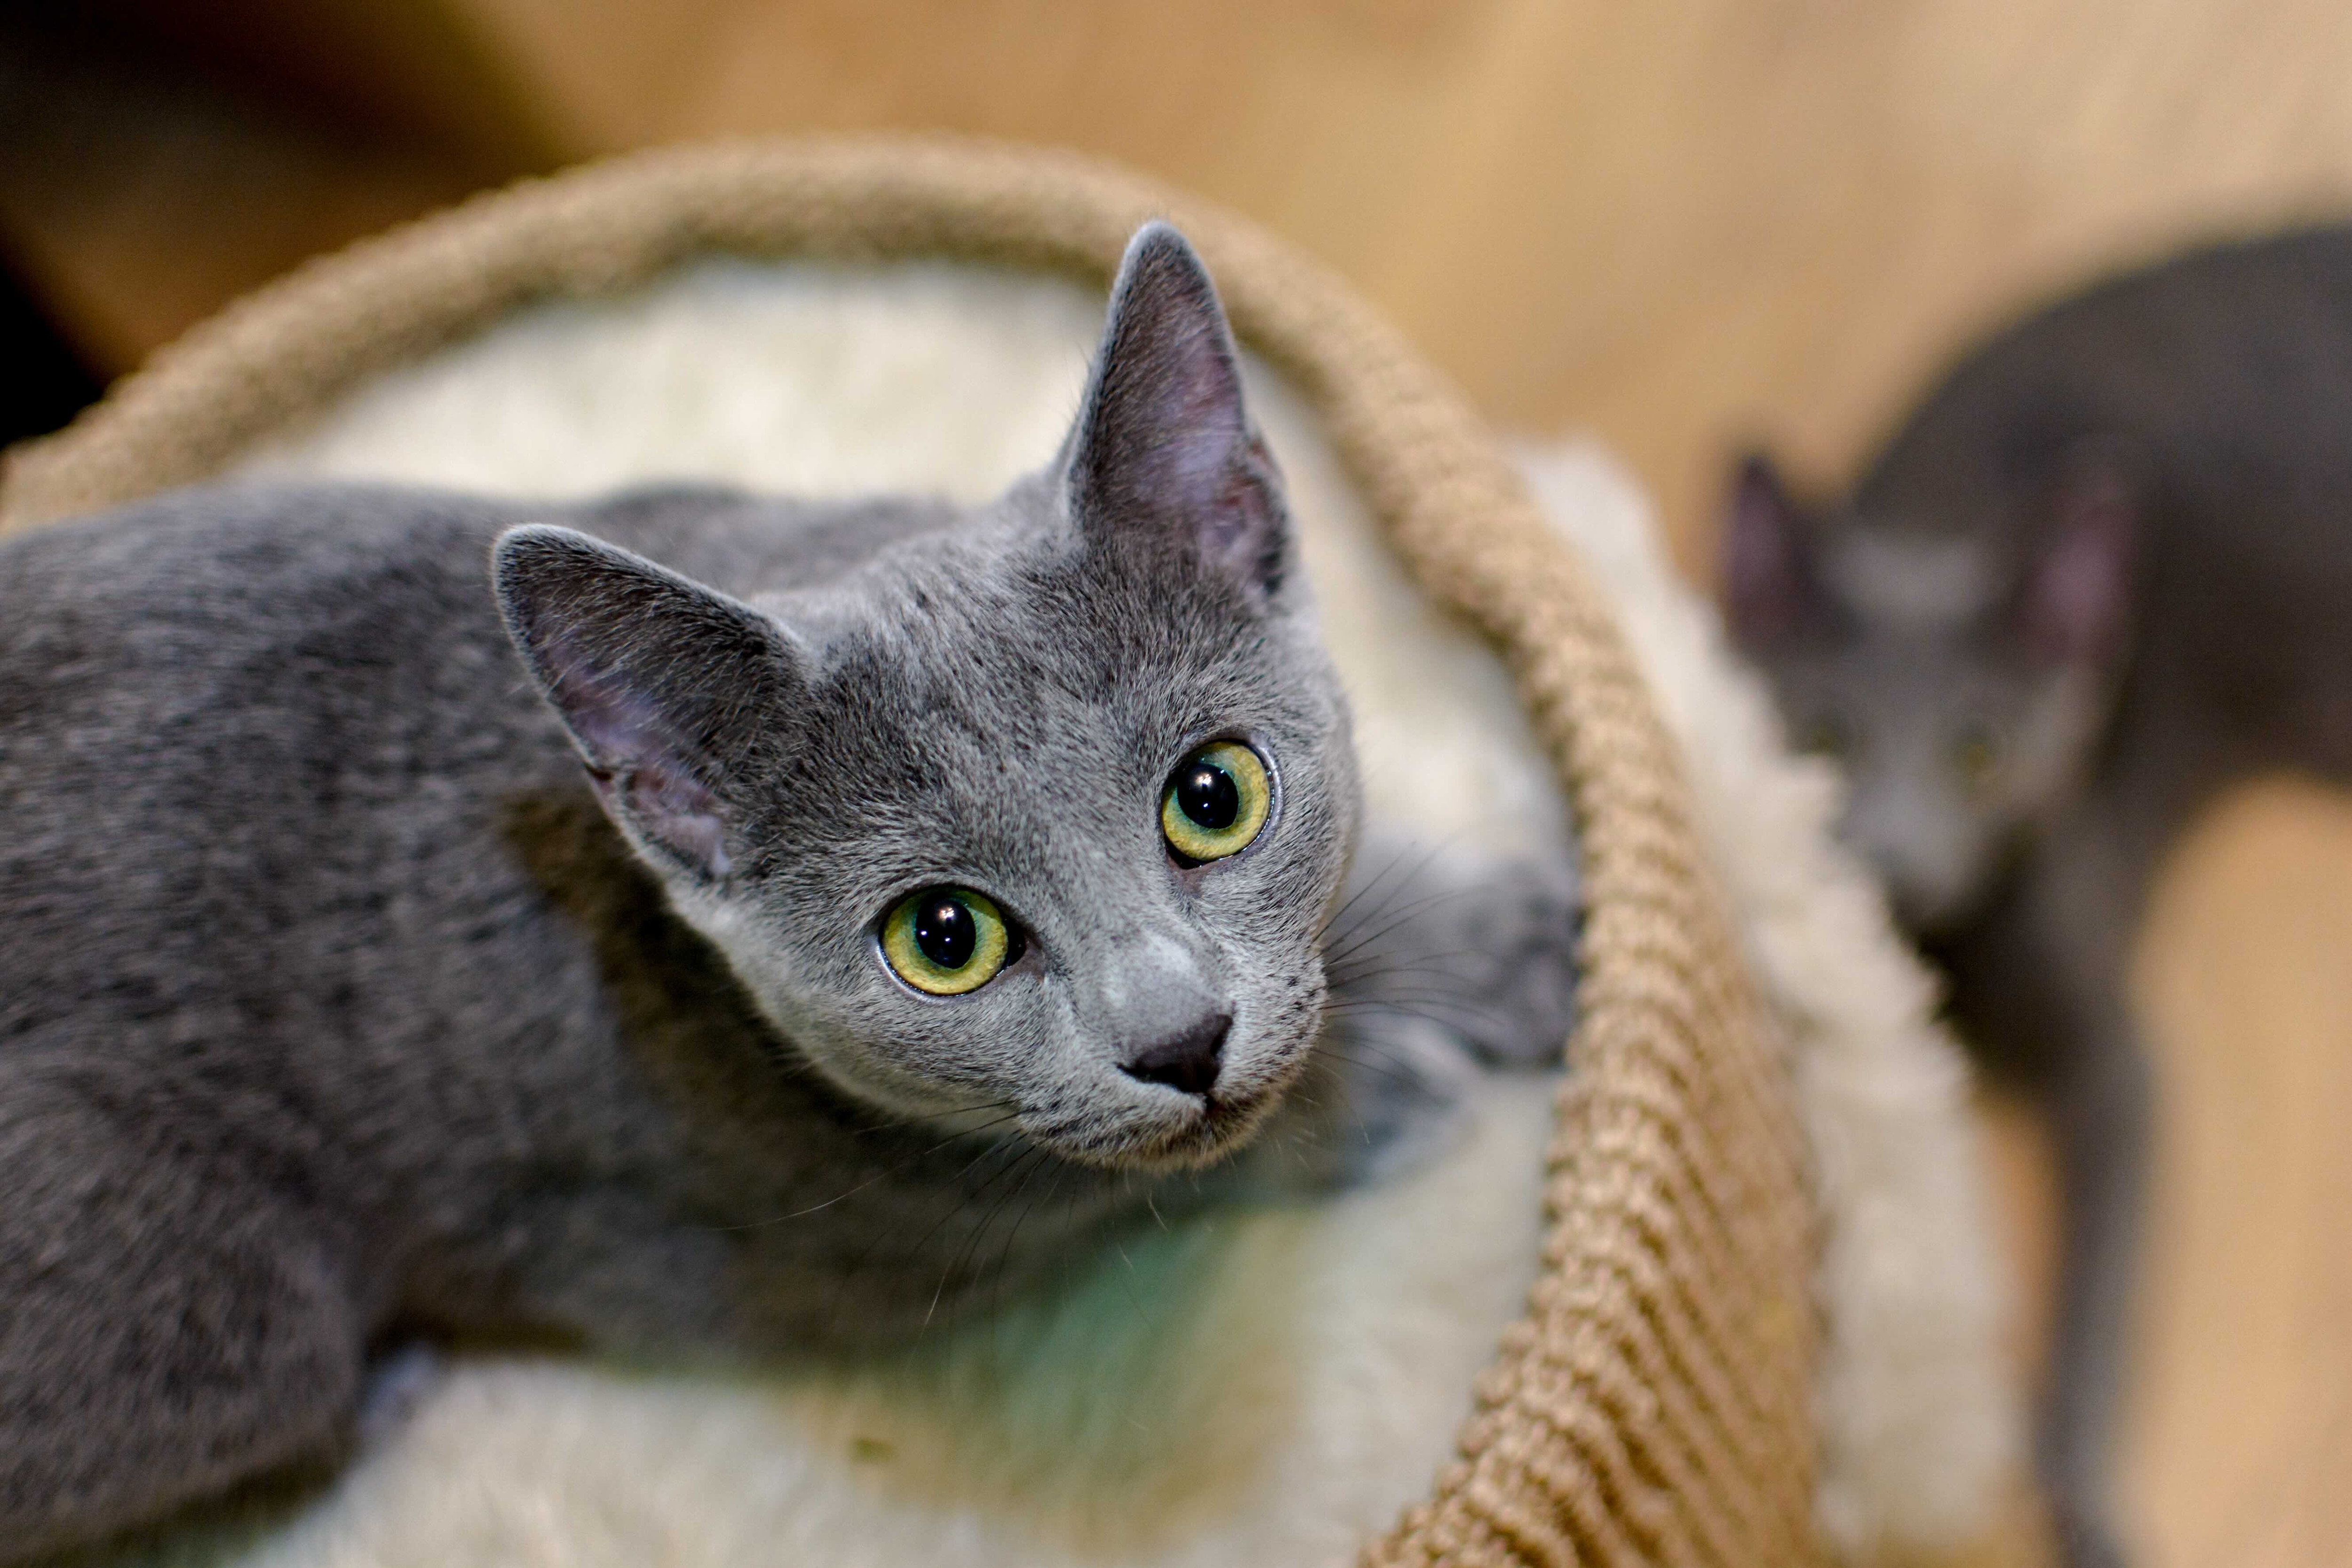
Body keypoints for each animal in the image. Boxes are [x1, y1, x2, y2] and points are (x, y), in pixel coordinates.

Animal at [0, 227, 1590, 1561]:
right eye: (941, 939)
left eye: (1216, 794)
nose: (1180, 1041)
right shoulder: (808, 1248)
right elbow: (1139, 1181)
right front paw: (1386, 1085)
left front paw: (1529, 945)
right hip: (228, 1316)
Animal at [1722, 223, 2352, 1568]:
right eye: (1823, 734)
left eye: (1981, 753)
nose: (1899, 854)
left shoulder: (2115, 1057)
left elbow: (2095, 1302)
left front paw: (2085, 1500)